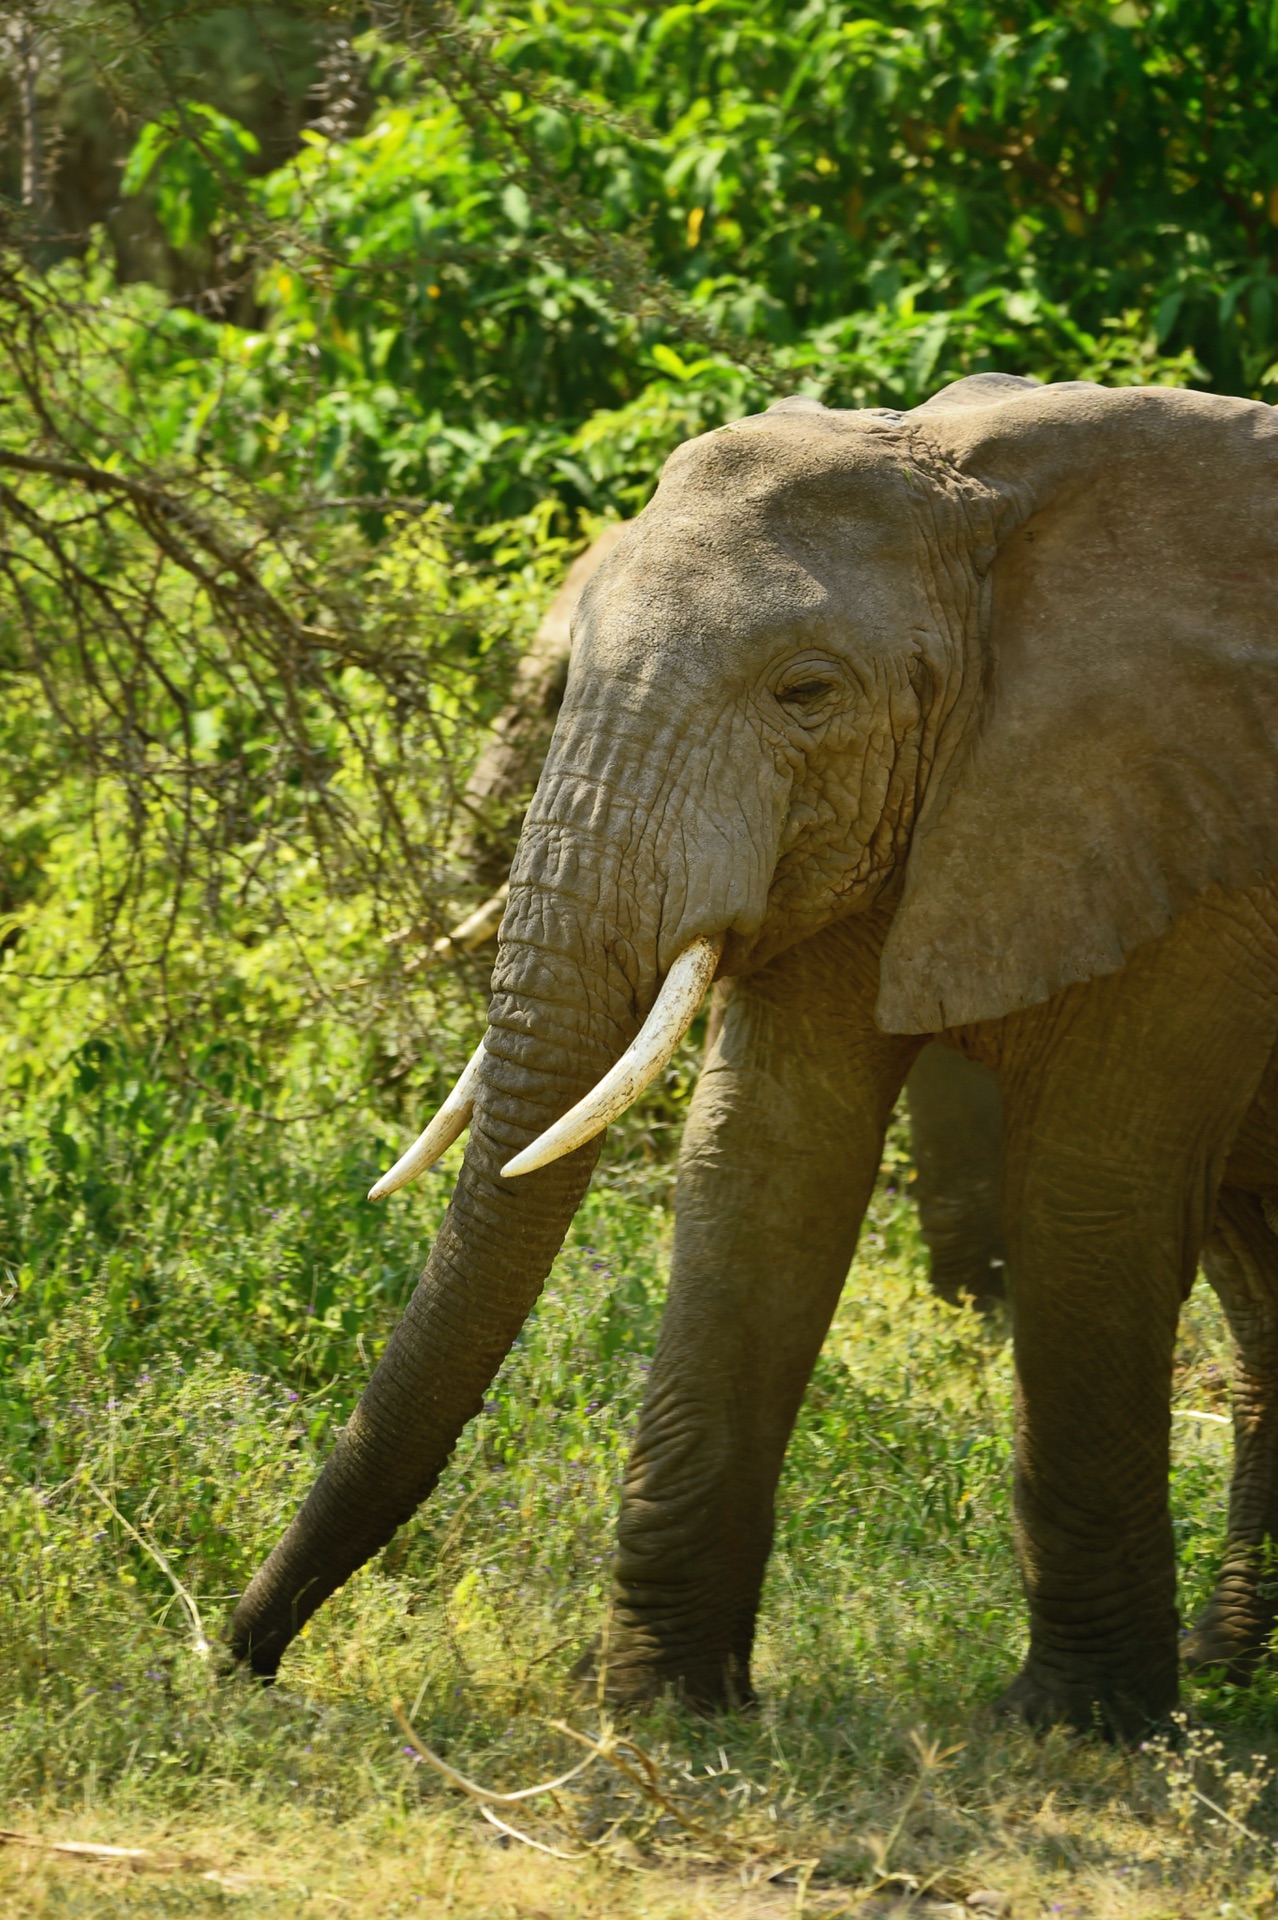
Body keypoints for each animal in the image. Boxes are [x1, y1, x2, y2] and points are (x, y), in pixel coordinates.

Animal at [226, 370, 1274, 1743]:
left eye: (807, 692)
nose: (236, 1656)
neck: (985, 495)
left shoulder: (1186, 837)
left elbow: (1090, 1198)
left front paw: (1070, 1731)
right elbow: (762, 1162)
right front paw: (666, 1710)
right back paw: (1230, 1667)